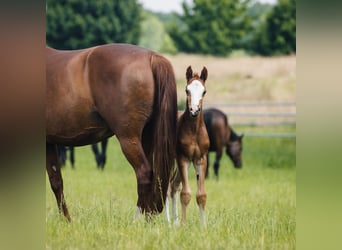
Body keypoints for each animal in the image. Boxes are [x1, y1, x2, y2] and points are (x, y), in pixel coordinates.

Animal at [46, 44, 178, 222]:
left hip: (128, 139)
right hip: (146, 137)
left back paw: (135, 220)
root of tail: (151, 57)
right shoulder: (49, 143)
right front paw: (67, 220)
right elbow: (56, 181)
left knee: (144, 173)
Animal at [167, 66, 210, 227]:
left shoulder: (200, 159)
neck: (194, 131)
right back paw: (168, 222)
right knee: (166, 187)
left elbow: (201, 195)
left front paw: (203, 227)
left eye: (204, 91)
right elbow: (185, 194)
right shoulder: (183, 158)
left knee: (173, 185)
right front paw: (184, 226)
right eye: (187, 90)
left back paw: (174, 222)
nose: (194, 110)